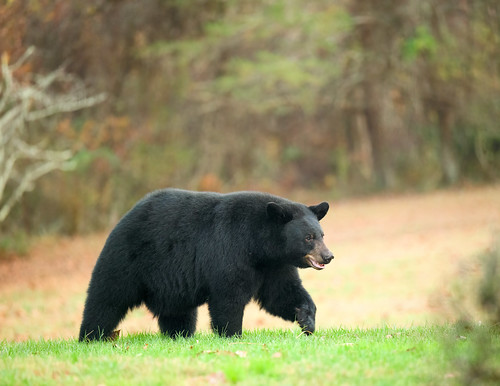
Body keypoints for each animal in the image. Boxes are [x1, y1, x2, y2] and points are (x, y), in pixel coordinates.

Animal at [79, 188, 332, 340]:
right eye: (308, 237)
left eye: (322, 234)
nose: (328, 256)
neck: (259, 245)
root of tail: (125, 217)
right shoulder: (230, 250)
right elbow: (228, 297)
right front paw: (232, 334)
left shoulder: (273, 266)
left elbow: (281, 293)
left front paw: (307, 320)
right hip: (128, 260)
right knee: (106, 299)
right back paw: (91, 336)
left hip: (169, 286)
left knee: (178, 313)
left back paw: (179, 335)